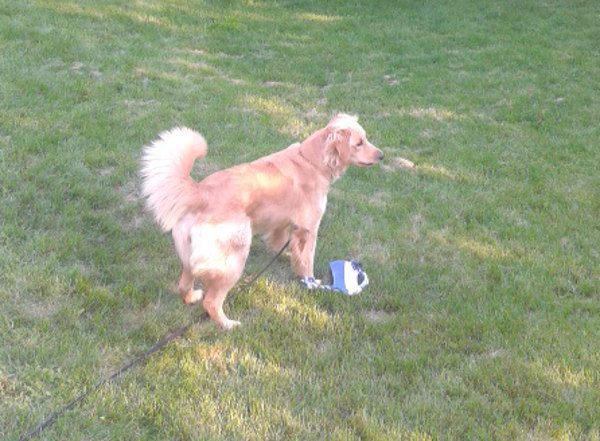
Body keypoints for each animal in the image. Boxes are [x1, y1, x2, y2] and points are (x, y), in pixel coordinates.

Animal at [140, 111, 382, 328]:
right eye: (359, 143)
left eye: (366, 138)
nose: (381, 155)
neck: (312, 160)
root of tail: (201, 191)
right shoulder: (309, 227)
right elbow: (307, 260)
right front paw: (311, 282)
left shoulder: (284, 222)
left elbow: (282, 242)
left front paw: (285, 255)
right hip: (234, 257)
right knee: (212, 302)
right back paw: (228, 324)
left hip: (189, 256)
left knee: (183, 285)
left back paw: (192, 298)